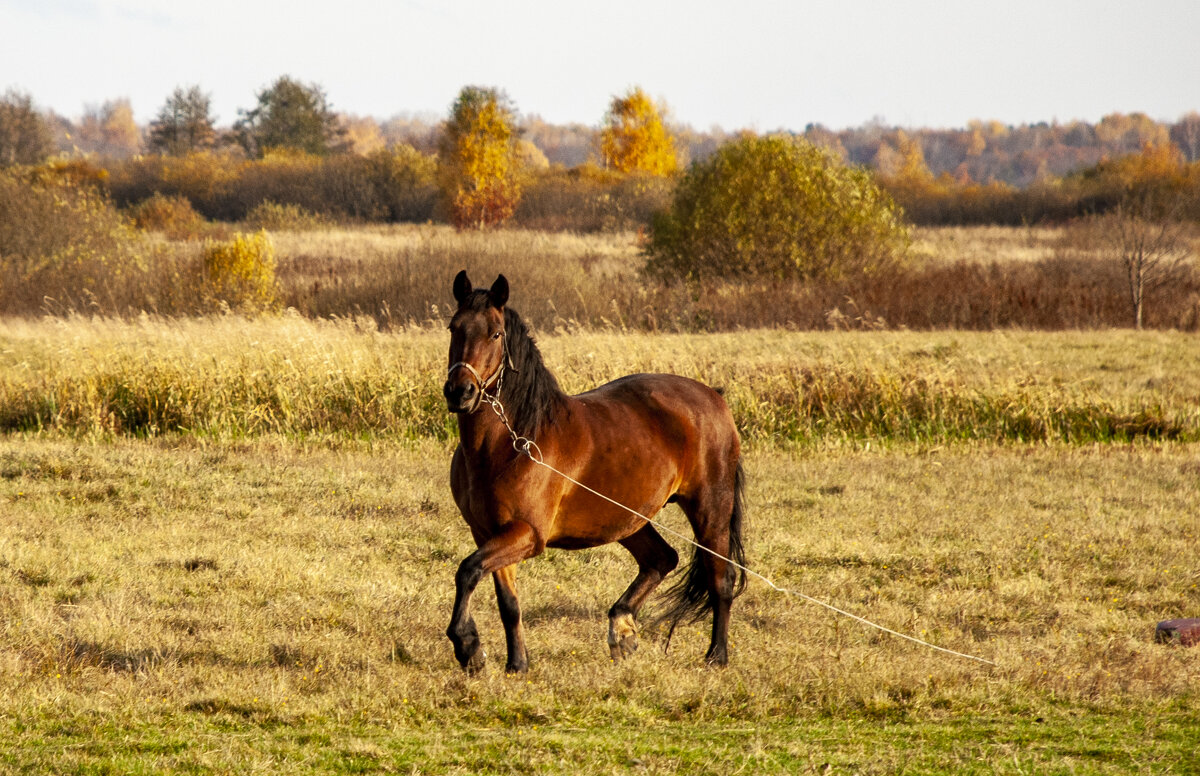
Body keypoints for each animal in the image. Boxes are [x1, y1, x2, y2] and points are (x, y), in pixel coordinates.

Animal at [441, 273, 739, 671]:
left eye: (495, 333)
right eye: (453, 328)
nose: (460, 392)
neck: (513, 442)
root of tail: (714, 397)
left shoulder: (527, 533)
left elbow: (467, 570)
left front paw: (468, 645)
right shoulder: (488, 532)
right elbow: (508, 603)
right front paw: (517, 664)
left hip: (710, 511)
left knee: (720, 578)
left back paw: (716, 656)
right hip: (627, 517)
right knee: (661, 559)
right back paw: (622, 630)